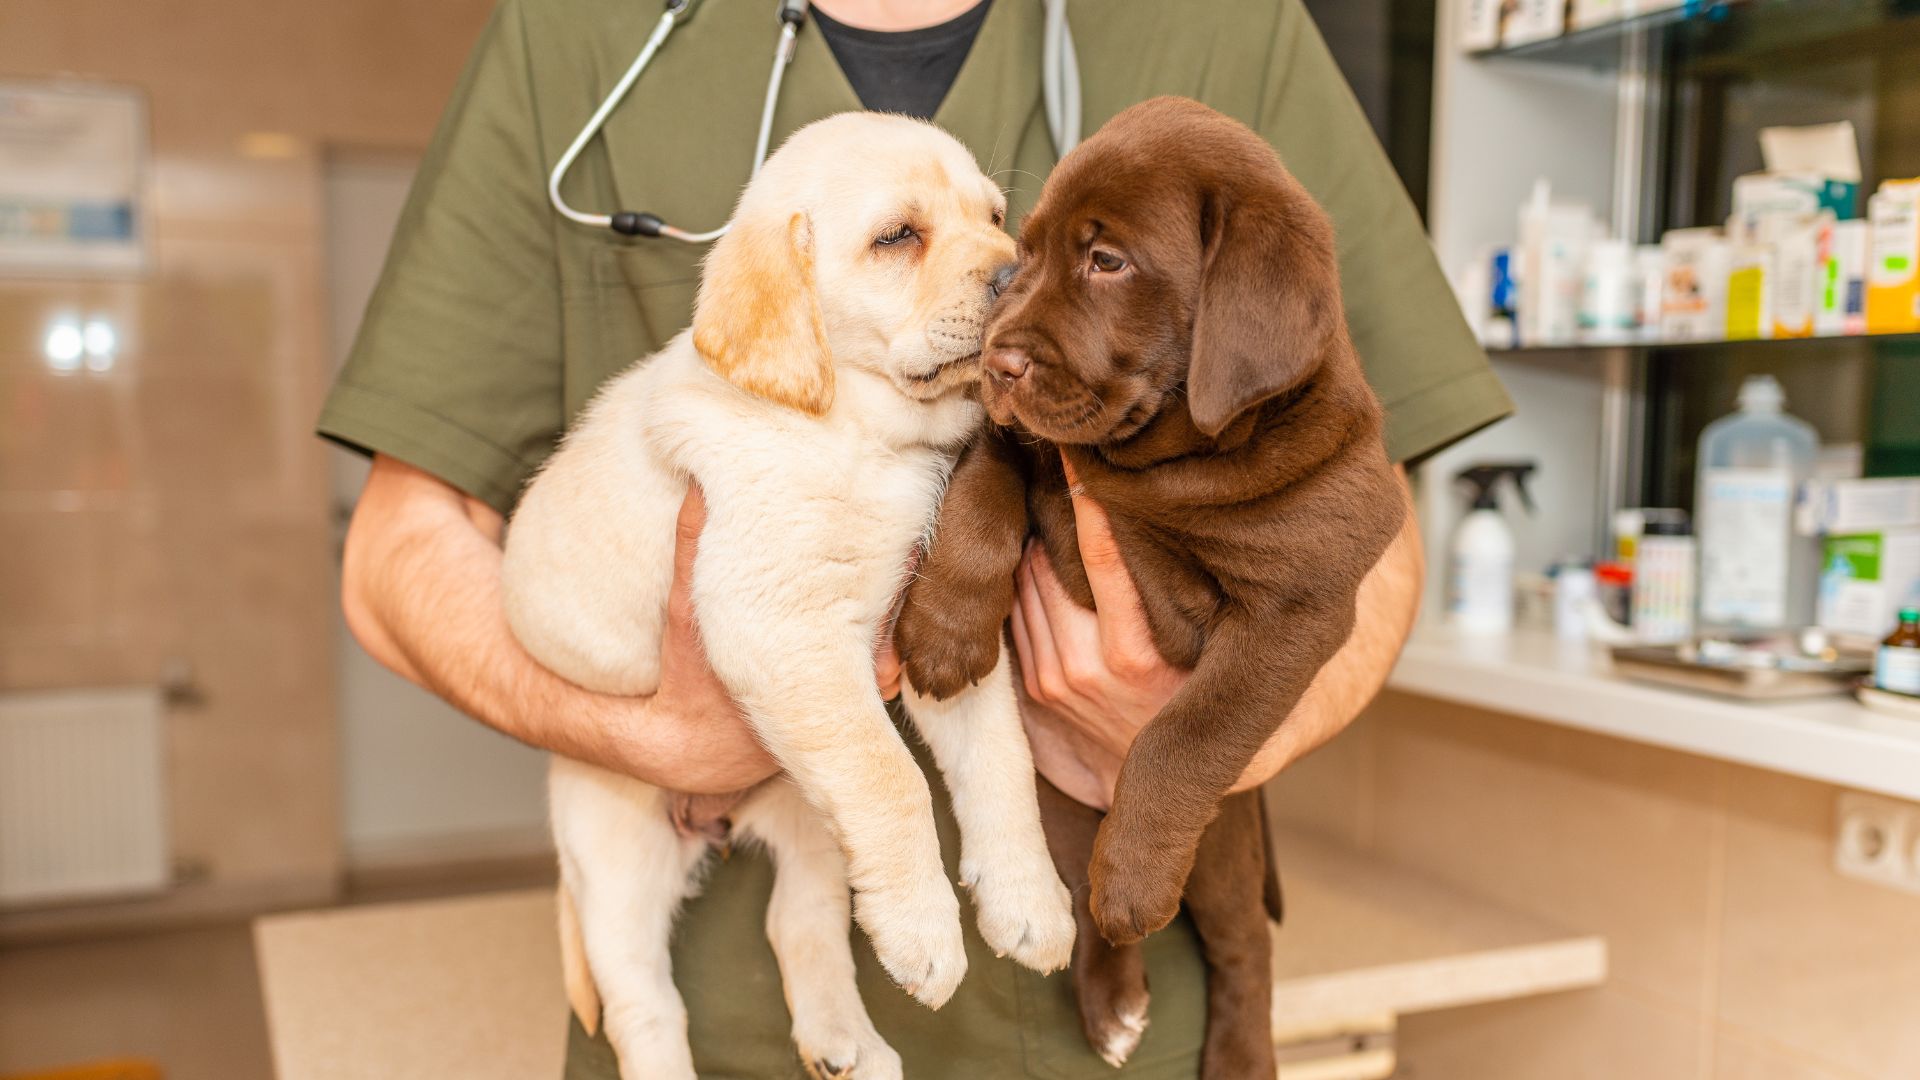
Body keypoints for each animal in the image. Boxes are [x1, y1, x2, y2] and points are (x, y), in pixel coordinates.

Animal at [499, 111, 1082, 1076]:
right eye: (898, 236)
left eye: (999, 219)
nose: (1017, 276)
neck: (862, 431)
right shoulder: (783, 627)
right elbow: (893, 778)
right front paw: (928, 934)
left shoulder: (935, 634)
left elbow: (1001, 762)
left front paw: (1028, 900)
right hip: (617, 851)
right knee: (641, 1002)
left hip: (810, 811)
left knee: (797, 921)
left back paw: (849, 1046)